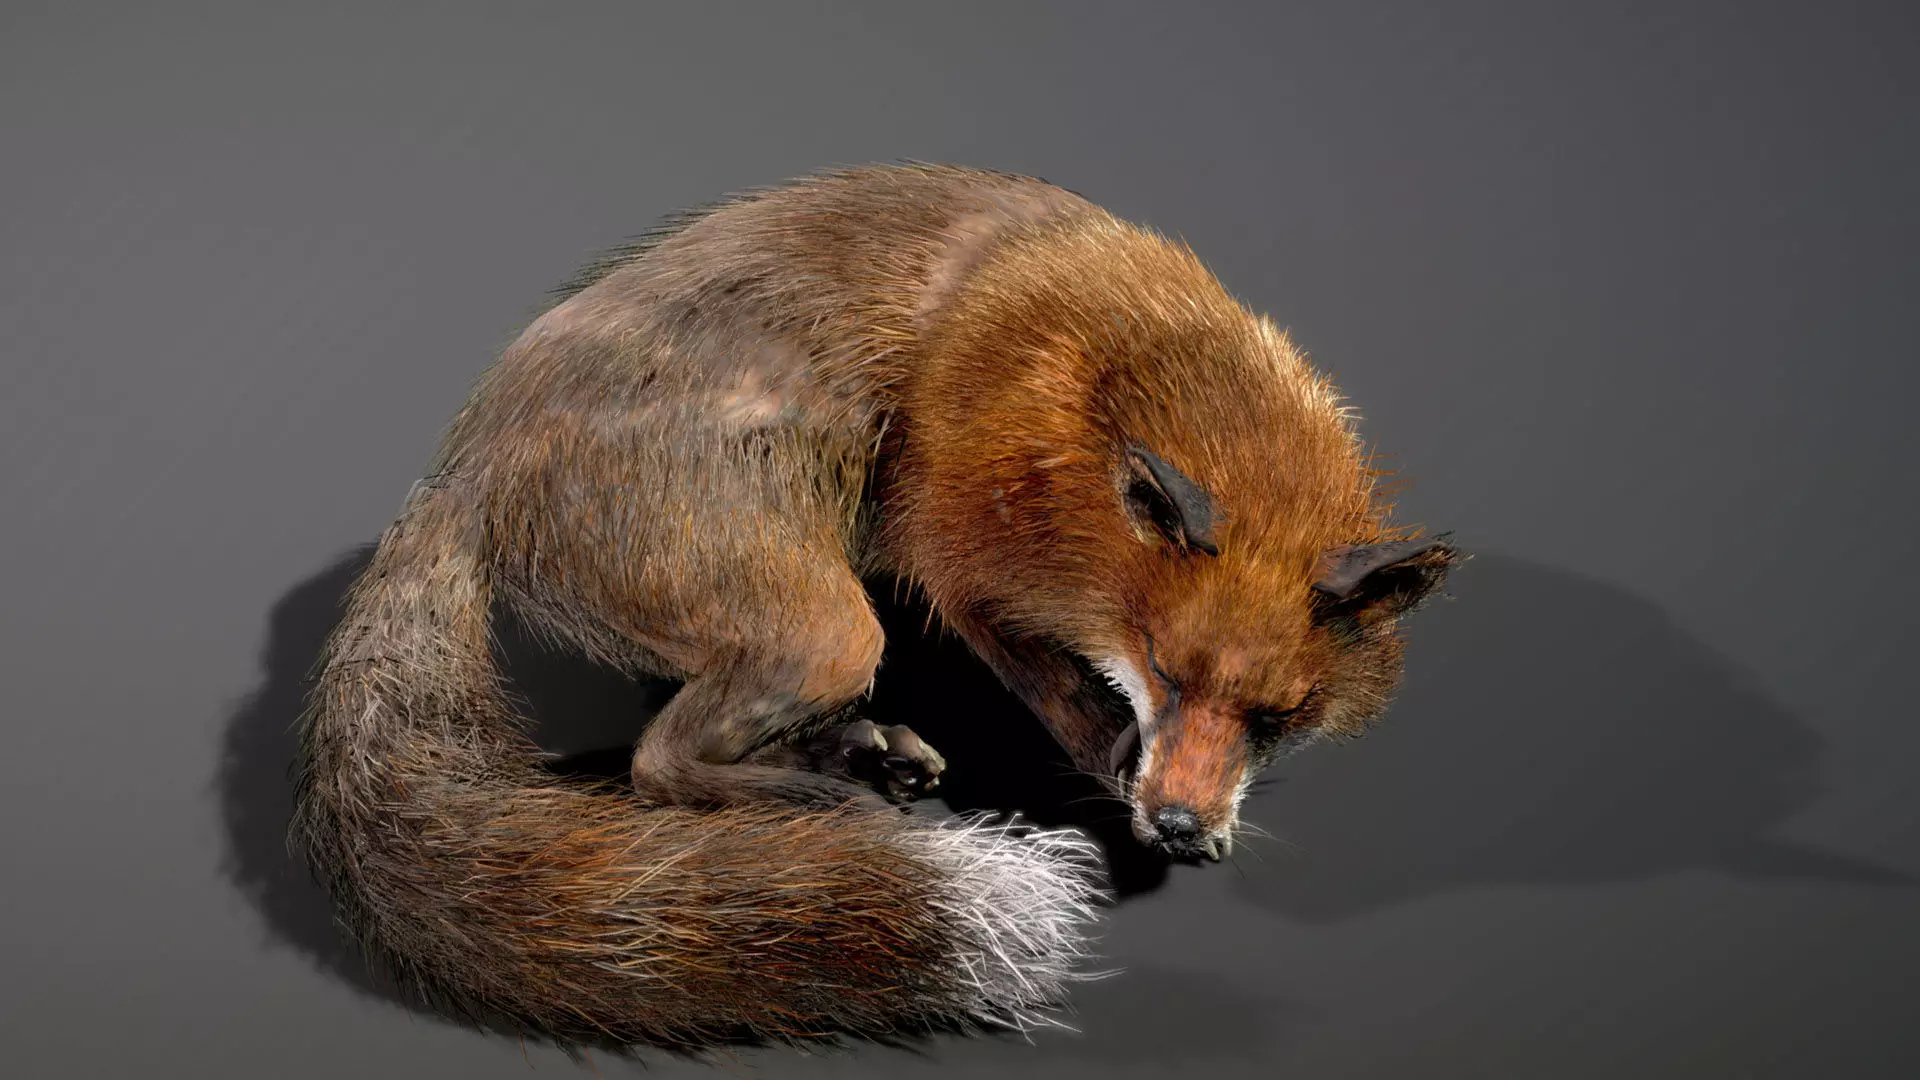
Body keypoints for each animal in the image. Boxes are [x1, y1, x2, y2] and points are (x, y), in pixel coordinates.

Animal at [292, 162, 1458, 1050]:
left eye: (1279, 716)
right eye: (1167, 670)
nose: (1176, 829)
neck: (1104, 396)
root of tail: (463, 466)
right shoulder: (957, 554)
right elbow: (1039, 674)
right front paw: (1107, 755)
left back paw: (862, 755)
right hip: (831, 626)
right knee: (659, 763)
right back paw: (819, 795)